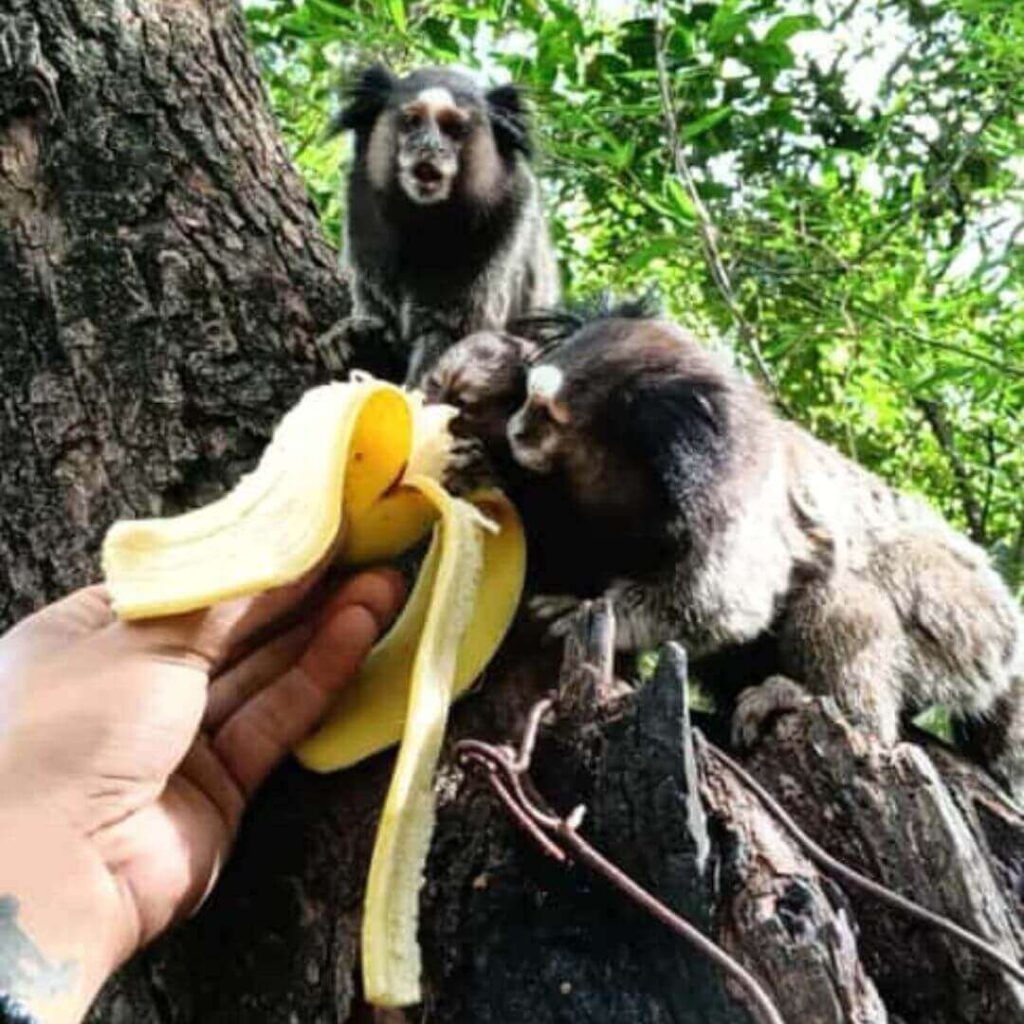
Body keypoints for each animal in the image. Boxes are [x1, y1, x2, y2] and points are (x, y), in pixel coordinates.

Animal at [333, 65, 561, 385]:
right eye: (412, 122)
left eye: (452, 128)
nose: (429, 146)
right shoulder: (362, 213)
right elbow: (376, 308)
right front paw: (354, 339)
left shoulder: (504, 224)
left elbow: (450, 332)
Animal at [423, 307, 1024, 794]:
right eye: (524, 399)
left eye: (545, 413)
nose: (517, 429)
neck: (626, 473)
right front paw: (480, 469)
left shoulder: (730, 494)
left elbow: (721, 599)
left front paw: (585, 611)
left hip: (961, 620)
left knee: (842, 596)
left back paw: (830, 710)